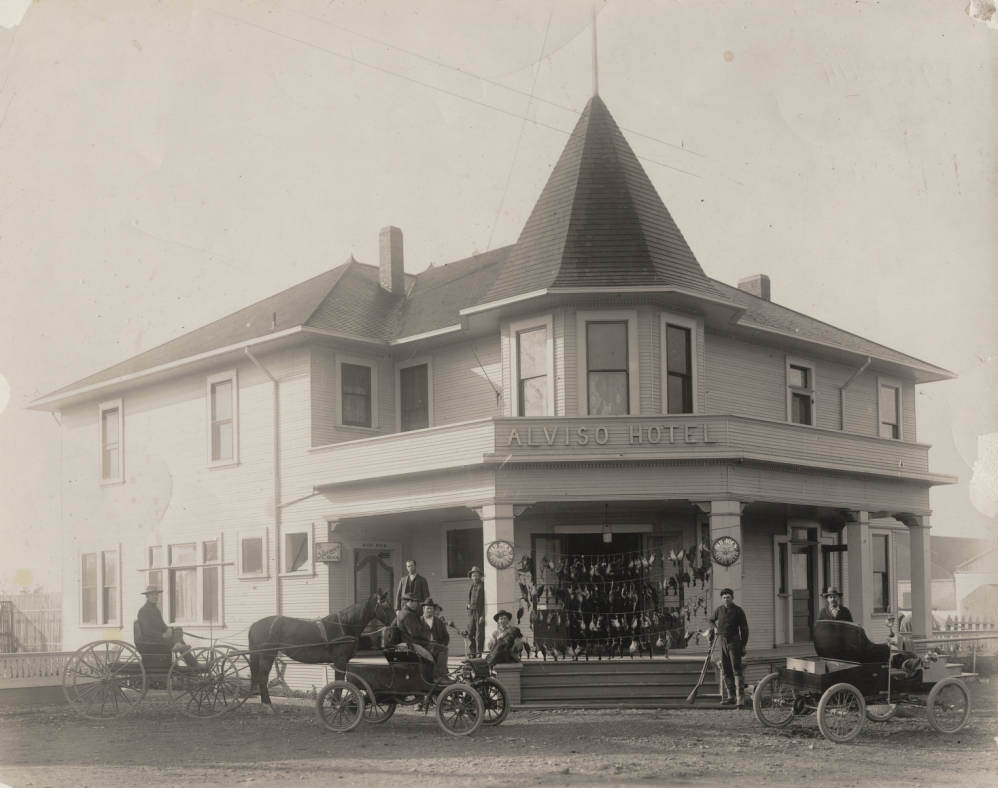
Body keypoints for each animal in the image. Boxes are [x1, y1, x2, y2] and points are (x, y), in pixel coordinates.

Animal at [246, 592, 394, 708]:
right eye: (386, 606)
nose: (394, 624)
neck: (344, 625)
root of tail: (255, 624)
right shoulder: (340, 661)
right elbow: (339, 684)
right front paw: (336, 704)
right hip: (267, 654)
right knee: (263, 677)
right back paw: (267, 705)